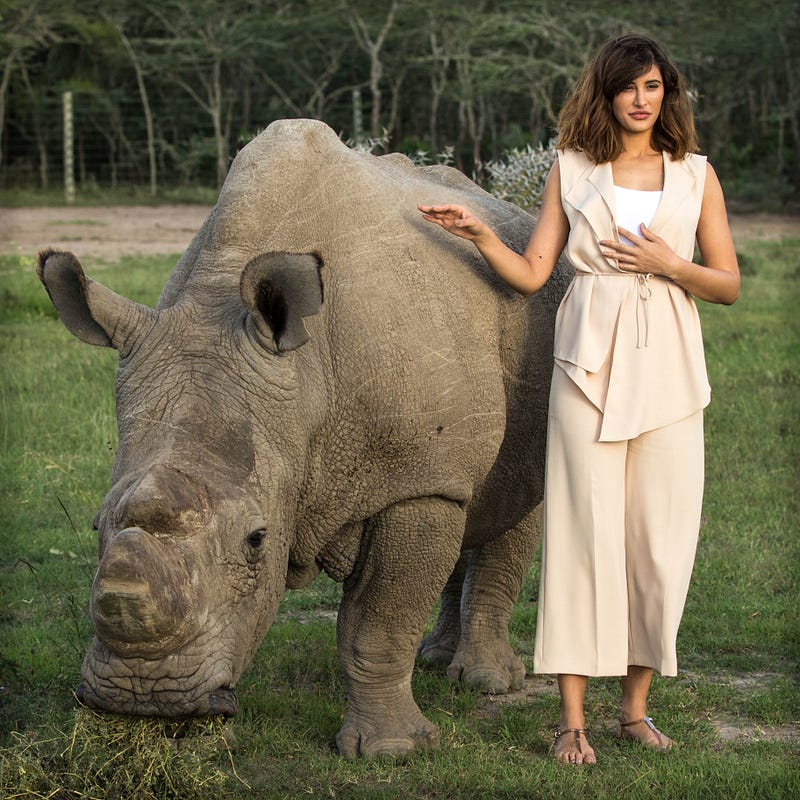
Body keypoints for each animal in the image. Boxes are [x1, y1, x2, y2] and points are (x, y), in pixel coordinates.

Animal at [37, 119, 572, 756]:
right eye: (96, 526)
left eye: (256, 540)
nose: (143, 697)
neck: (305, 385)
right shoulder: (412, 462)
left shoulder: (413, 481)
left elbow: (378, 620)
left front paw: (392, 751)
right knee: (470, 498)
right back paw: (435, 660)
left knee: (507, 503)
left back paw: (486, 682)